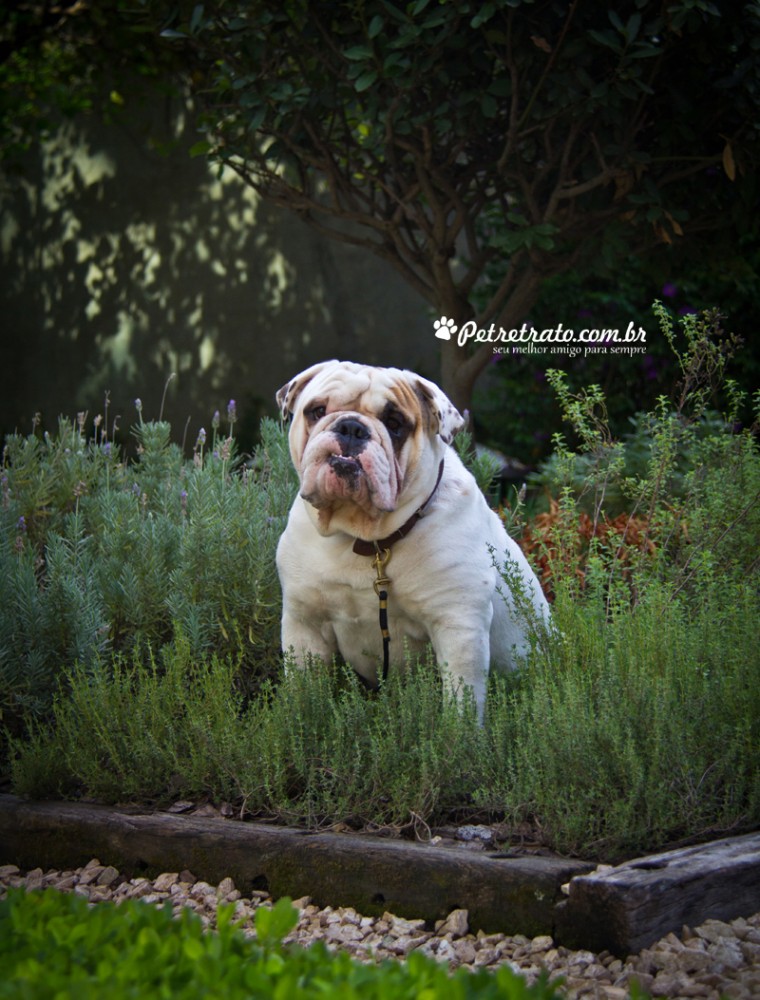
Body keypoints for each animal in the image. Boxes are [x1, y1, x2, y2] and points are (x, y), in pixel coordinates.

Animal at [276, 360, 548, 720]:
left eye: (395, 424)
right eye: (317, 411)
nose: (351, 427)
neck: (367, 540)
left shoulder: (458, 625)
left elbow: (461, 703)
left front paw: (459, 734)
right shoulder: (305, 623)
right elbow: (303, 691)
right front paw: (302, 720)